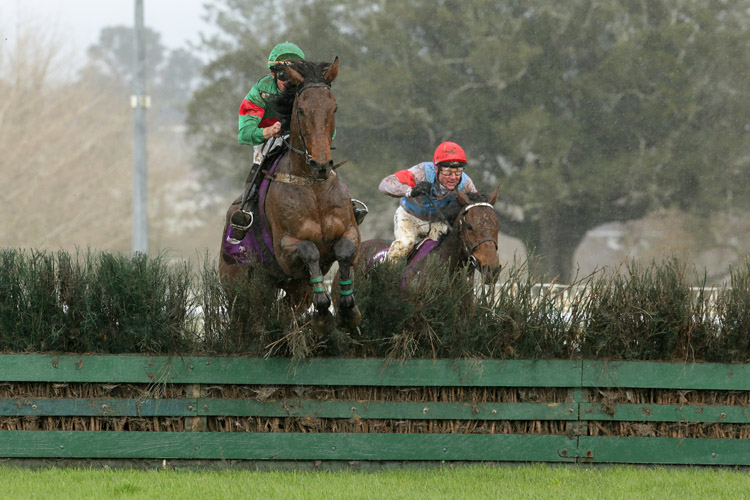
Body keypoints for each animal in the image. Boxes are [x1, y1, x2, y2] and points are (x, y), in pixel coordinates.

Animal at [219, 58, 362, 330]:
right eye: (302, 110)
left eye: (334, 108)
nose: (321, 165)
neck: (313, 187)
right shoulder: (285, 250)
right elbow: (309, 250)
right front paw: (323, 311)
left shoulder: (350, 231)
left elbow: (345, 250)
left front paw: (348, 309)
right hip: (237, 280)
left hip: (293, 290)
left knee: (286, 310)